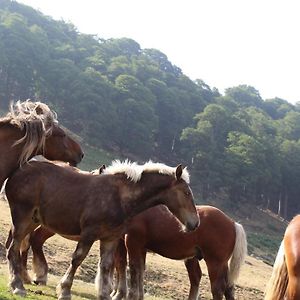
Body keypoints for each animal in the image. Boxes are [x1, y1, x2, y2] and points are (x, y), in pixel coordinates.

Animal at [4, 158, 199, 298]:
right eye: (186, 193)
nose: (195, 223)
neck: (119, 197)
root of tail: (18, 170)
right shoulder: (89, 234)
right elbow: (77, 259)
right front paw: (65, 290)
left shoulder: (110, 238)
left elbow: (106, 265)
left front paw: (105, 294)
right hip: (22, 217)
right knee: (13, 248)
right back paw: (18, 285)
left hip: (33, 220)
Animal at [110, 205, 246, 300]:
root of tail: (233, 223)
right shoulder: (138, 247)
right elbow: (136, 270)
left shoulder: (131, 243)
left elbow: (129, 267)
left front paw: (119, 294)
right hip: (212, 262)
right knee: (226, 287)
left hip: (215, 263)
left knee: (218, 289)